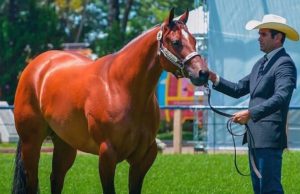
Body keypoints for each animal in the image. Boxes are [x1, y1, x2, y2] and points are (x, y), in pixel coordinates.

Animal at [12, 8, 209, 193]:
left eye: (194, 40)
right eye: (176, 42)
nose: (203, 73)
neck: (121, 88)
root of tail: (36, 66)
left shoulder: (144, 157)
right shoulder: (107, 154)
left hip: (65, 144)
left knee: (56, 179)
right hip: (32, 143)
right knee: (32, 181)